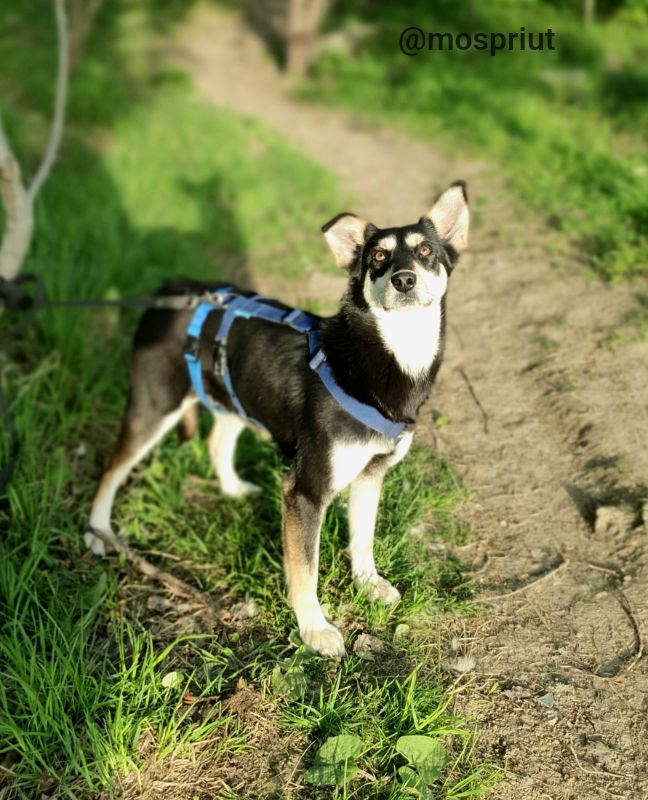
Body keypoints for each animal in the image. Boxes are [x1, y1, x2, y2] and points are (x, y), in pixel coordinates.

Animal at [87, 181, 470, 656]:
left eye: (425, 250)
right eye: (379, 257)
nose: (404, 280)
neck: (385, 359)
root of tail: (172, 289)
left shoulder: (371, 474)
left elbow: (363, 537)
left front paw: (368, 584)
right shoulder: (305, 491)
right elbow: (306, 570)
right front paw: (314, 629)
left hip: (235, 393)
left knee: (216, 442)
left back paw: (233, 488)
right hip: (153, 405)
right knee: (112, 468)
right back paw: (98, 531)